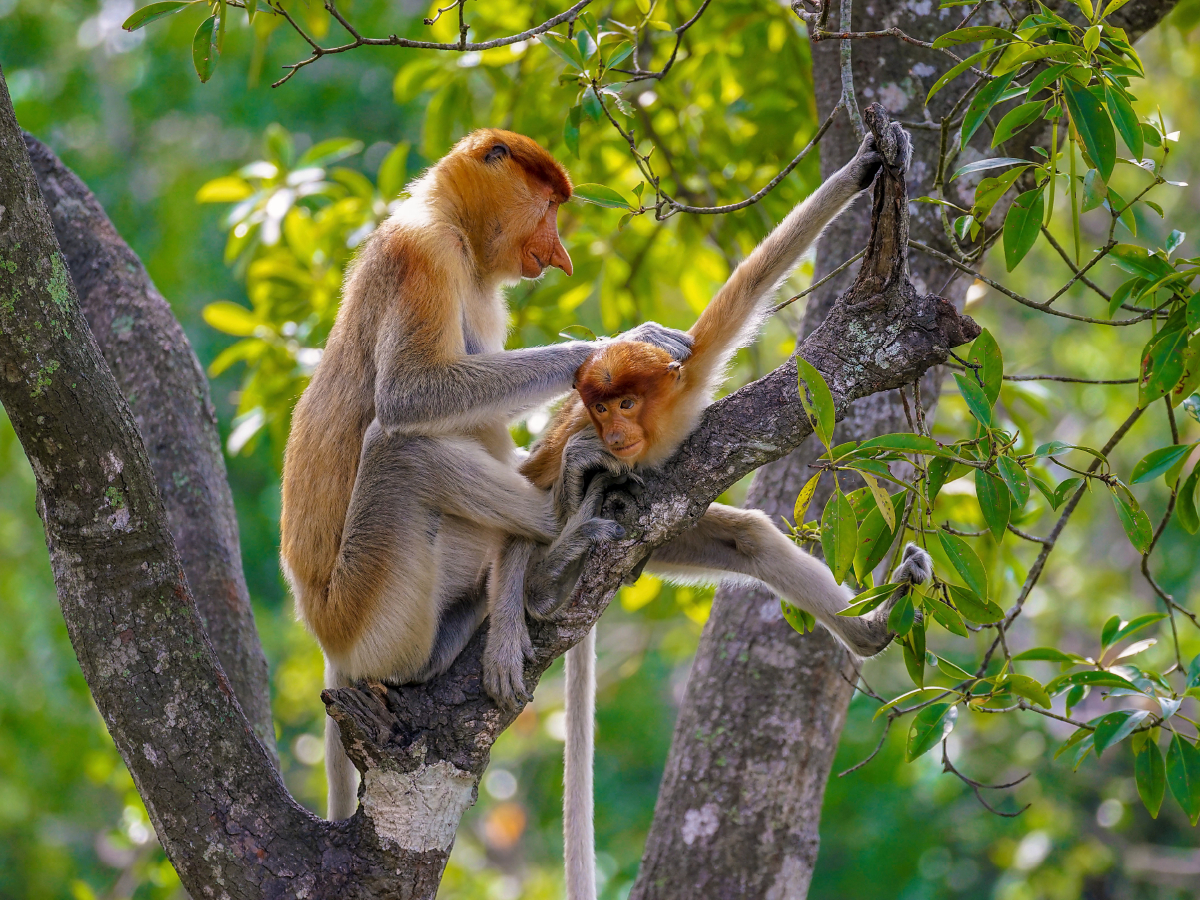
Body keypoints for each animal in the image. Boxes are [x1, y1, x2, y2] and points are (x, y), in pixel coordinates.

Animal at [280, 128, 691, 825]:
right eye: (549, 204)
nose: (560, 255)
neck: (451, 226)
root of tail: (327, 643)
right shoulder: (422, 257)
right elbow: (411, 395)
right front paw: (621, 344)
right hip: (373, 610)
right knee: (401, 448)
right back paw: (560, 522)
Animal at [506, 125, 936, 900]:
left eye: (625, 402)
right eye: (600, 407)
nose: (613, 433)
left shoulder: (690, 368)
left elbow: (751, 283)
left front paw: (864, 168)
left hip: (674, 538)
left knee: (748, 537)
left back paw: (870, 632)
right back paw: (549, 583)